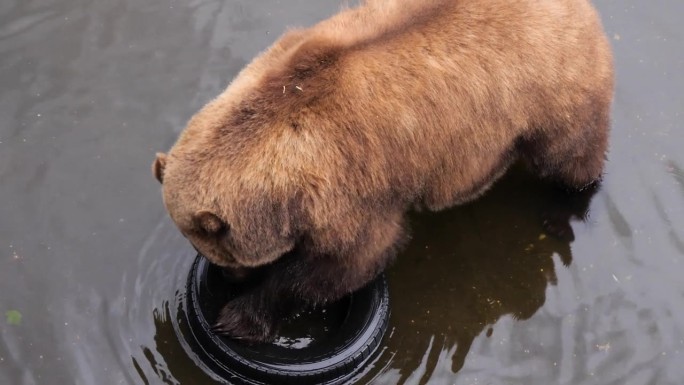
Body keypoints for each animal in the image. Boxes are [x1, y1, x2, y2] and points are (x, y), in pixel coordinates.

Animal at [154, 0, 616, 340]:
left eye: (216, 249)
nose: (227, 277)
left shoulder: (347, 185)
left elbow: (350, 260)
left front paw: (239, 316)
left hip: (553, 91)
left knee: (570, 156)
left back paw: (560, 209)